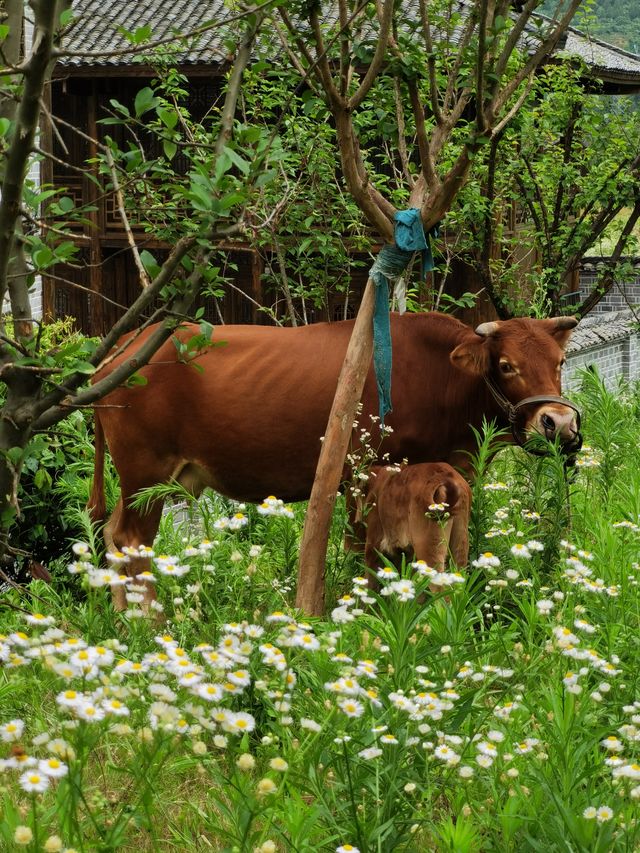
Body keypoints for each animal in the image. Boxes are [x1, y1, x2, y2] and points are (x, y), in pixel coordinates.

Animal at [87, 310, 584, 608]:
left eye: (559, 362)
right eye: (506, 365)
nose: (558, 423)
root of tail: (124, 348)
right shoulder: (367, 477)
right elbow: (364, 552)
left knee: (111, 533)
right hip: (145, 472)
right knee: (133, 541)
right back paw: (151, 625)